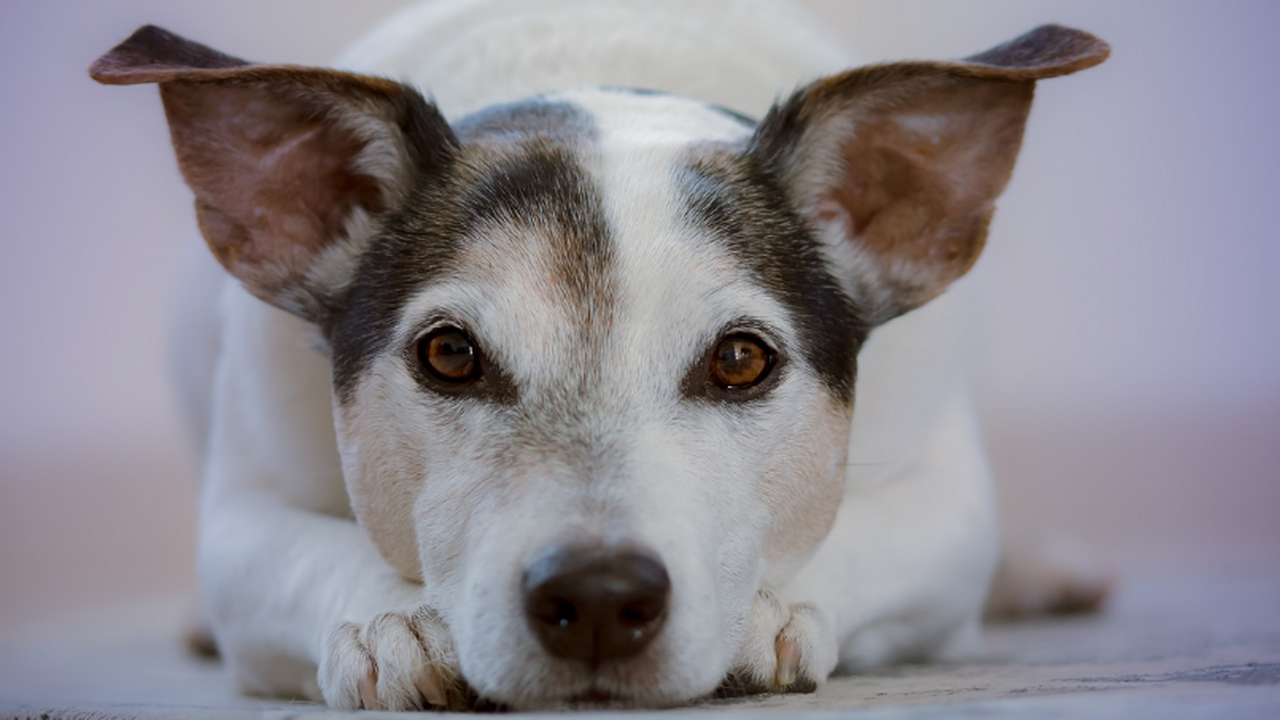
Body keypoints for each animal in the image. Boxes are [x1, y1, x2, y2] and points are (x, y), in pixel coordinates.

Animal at [90, 0, 1111, 707]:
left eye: (740, 361)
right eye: (449, 354)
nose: (596, 597)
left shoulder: (949, 501)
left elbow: (869, 535)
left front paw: (771, 610)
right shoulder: (242, 511)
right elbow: (297, 550)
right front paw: (394, 621)